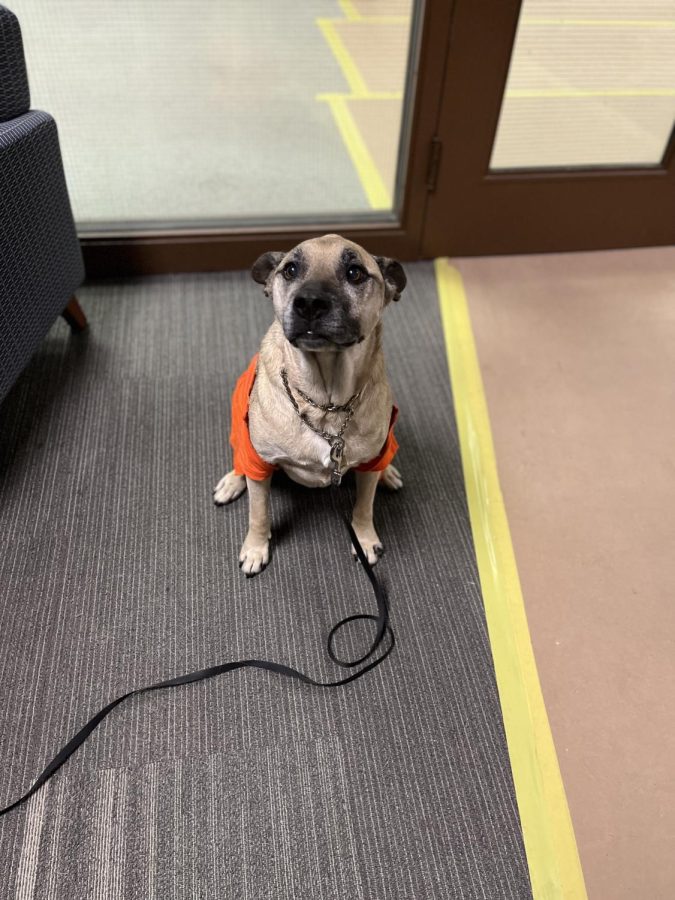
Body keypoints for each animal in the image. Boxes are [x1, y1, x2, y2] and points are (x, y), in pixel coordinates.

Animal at [215, 234, 406, 576]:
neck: (326, 403)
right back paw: (232, 481)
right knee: (240, 459)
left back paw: (389, 473)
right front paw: (255, 547)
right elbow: (258, 512)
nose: (310, 303)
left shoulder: (368, 464)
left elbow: (364, 505)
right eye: (290, 269)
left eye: (355, 273)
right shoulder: (260, 462)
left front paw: (364, 539)